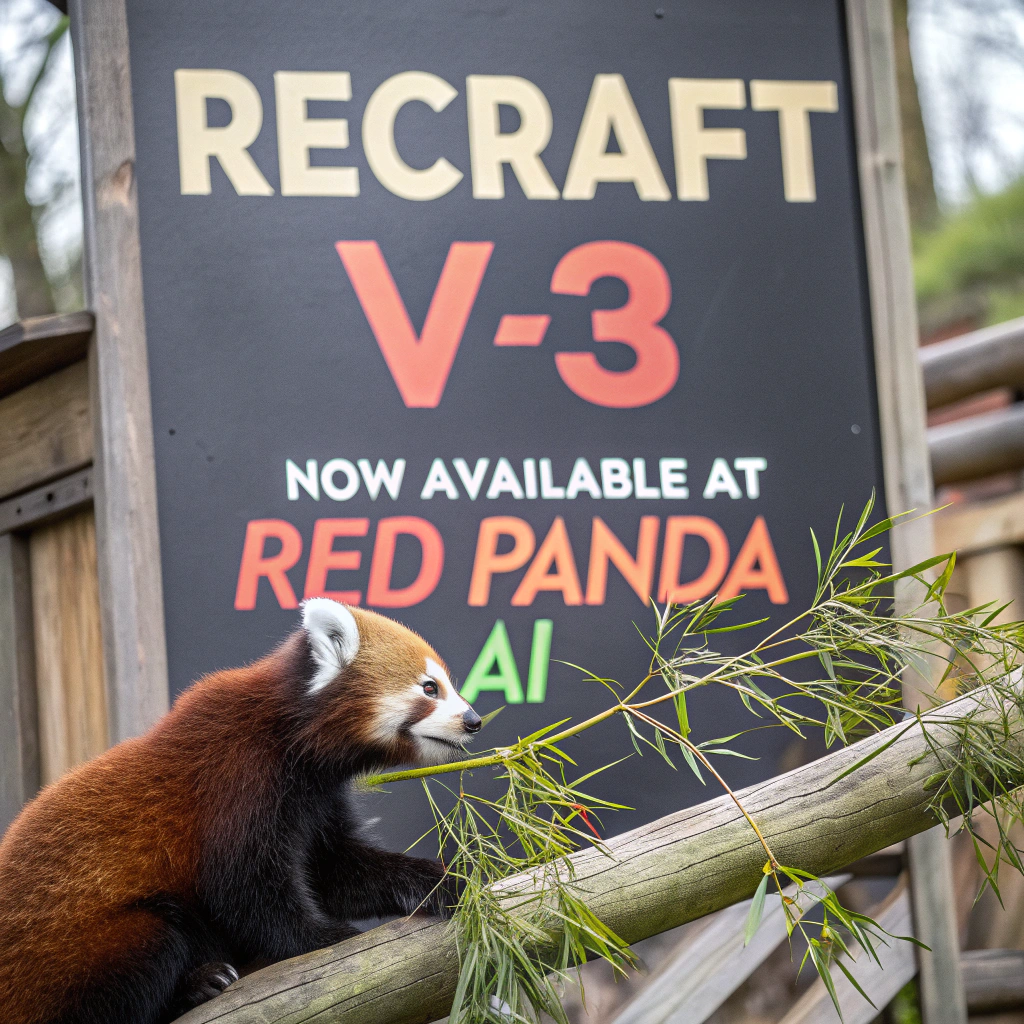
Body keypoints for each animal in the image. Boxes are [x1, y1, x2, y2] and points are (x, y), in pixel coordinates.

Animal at [0, 599, 481, 1024]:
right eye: (430, 688)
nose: (474, 720)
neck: (289, 732)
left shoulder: (315, 799)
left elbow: (336, 870)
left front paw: (444, 880)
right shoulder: (237, 777)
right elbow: (243, 890)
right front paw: (328, 938)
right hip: (81, 953)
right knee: (149, 947)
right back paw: (198, 985)